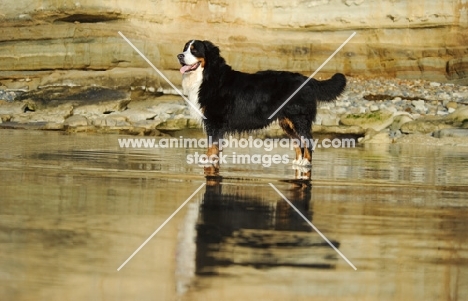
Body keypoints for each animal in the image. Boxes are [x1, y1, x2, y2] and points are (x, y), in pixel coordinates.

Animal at [177, 39, 346, 176]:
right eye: (185, 48)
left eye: (194, 50)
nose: (179, 56)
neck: (207, 76)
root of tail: (307, 79)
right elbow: (215, 146)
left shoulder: (215, 121)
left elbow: (212, 145)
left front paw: (208, 161)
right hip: (287, 122)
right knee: (298, 142)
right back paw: (298, 163)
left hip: (299, 119)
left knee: (307, 140)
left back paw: (305, 163)